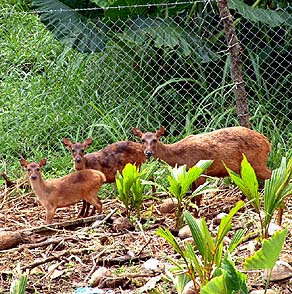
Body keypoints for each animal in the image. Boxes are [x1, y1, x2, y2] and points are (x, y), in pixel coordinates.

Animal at [132, 127, 272, 208]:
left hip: (257, 162)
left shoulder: (201, 171)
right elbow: (193, 195)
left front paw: (196, 215)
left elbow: (198, 196)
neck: (181, 157)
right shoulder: (190, 173)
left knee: (271, 175)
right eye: (142, 140)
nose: (148, 153)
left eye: (155, 139)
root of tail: (267, 142)